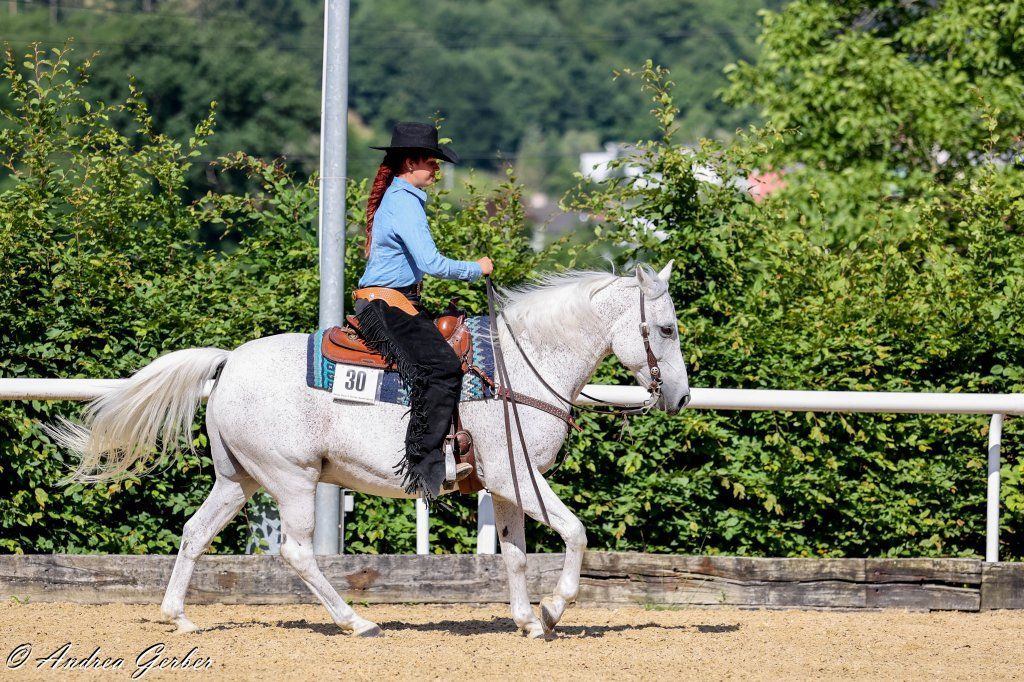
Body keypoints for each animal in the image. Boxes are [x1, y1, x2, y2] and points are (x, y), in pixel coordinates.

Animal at [44, 263, 690, 639]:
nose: (680, 396)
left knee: (194, 533)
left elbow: (513, 555)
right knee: (297, 553)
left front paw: (528, 620)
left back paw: (180, 618)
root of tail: (228, 363)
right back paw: (357, 621)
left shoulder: (505, 486)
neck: (520, 367)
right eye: (665, 329)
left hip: (237, 481)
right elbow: (576, 532)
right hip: (293, 480)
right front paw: (554, 610)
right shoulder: (520, 479)